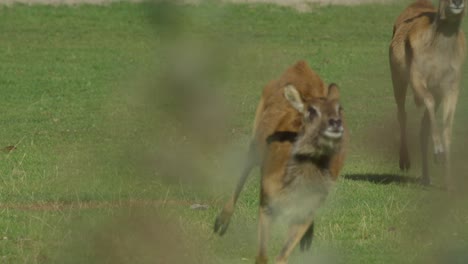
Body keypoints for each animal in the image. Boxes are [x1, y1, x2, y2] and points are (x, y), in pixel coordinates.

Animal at [212, 60, 348, 262]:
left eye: (340, 109)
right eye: (311, 111)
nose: (336, 122)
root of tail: (301, 64)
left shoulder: (308, 210)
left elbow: (282, 257)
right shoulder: (266, 200)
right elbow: (262, 257)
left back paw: (307, 240)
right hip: (255, 136)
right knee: (244, 169)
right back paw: (221, 223)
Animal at [390, 0, 466, 189]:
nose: (457, 2)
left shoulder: (452, 84)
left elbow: (448, 126)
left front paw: (449, 182)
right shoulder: (416, 76)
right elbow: (428, 100)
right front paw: (438, 152)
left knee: (423, 125)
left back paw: (426, 177)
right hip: (397, 76)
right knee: (402, 113)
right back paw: (405, 162)